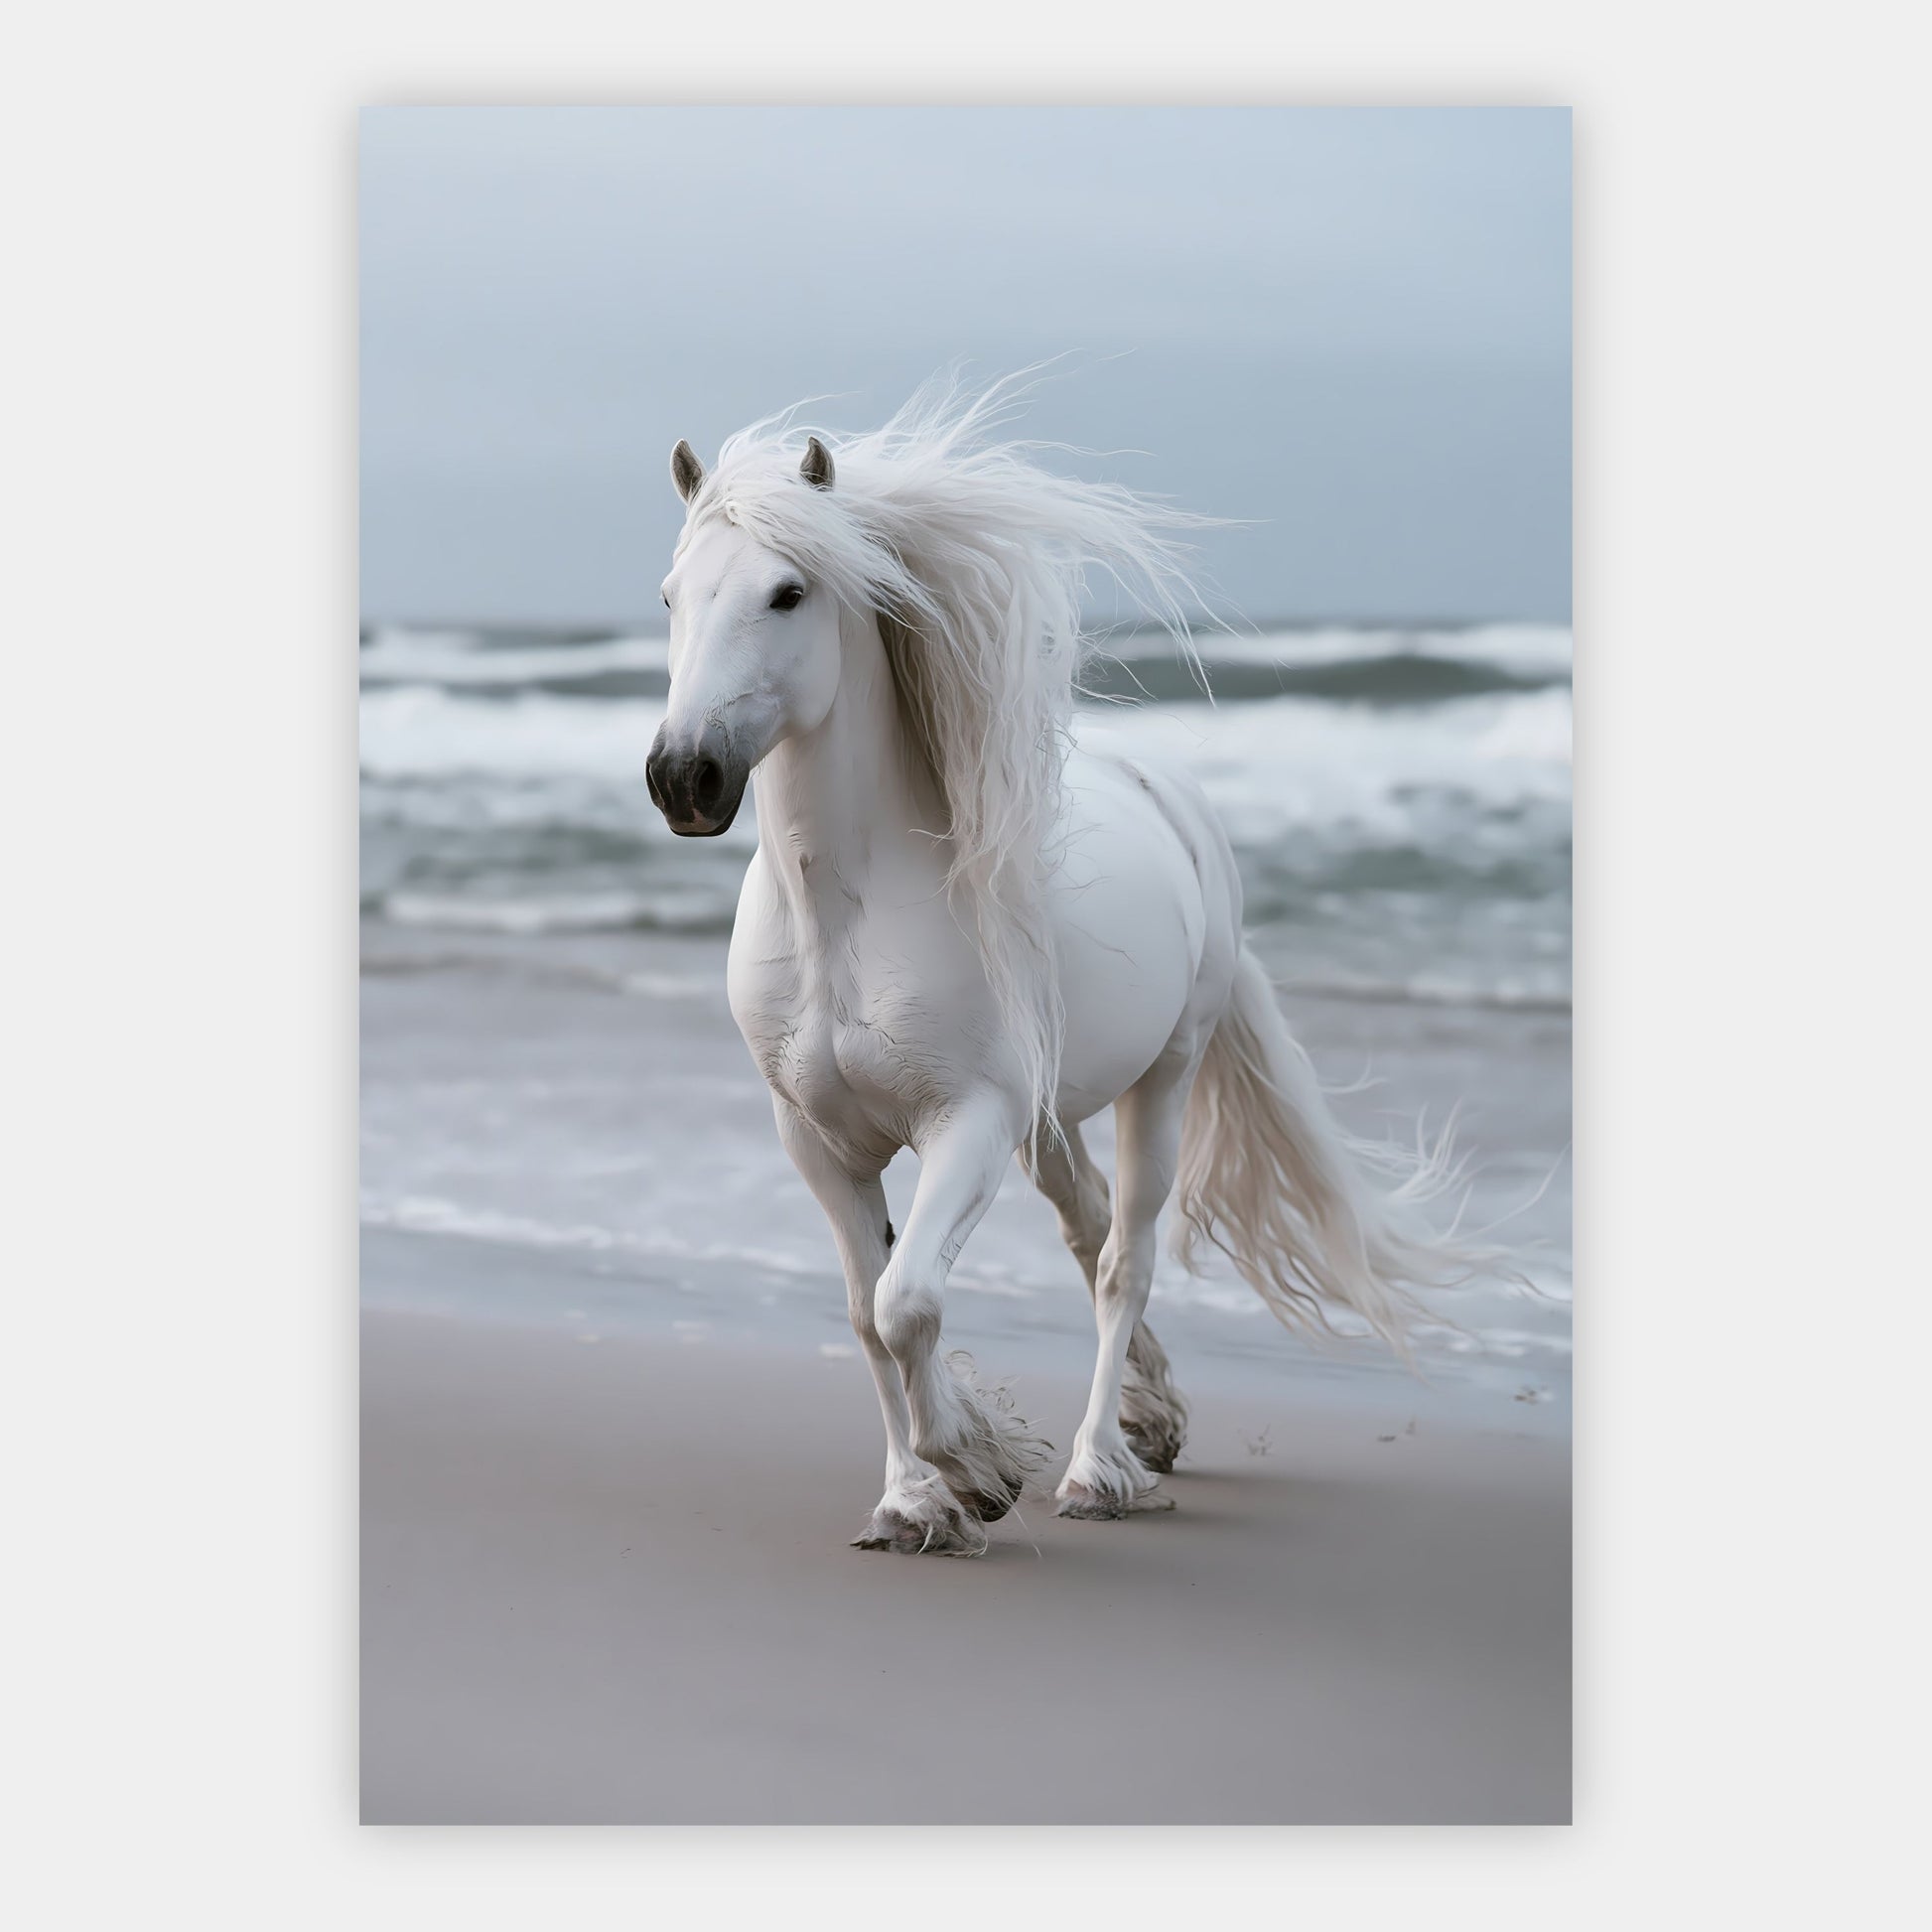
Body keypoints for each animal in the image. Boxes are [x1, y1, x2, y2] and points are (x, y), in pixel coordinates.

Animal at [645, 376, 1474, 1555]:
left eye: (787, 592)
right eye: (672, 595)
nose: (683, 778)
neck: (844, 922)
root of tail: (1172, 797)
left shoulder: (969, 1123)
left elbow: (906, 1301)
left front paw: (981, 1470)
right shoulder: (815, 1139)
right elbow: (864, 1310)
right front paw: (909, 1501)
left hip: (1159, 1079)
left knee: (1122, 1256)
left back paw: (1095, 1467)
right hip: (1047, 1116)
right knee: (1085, 1233)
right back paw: (1149, 1418)